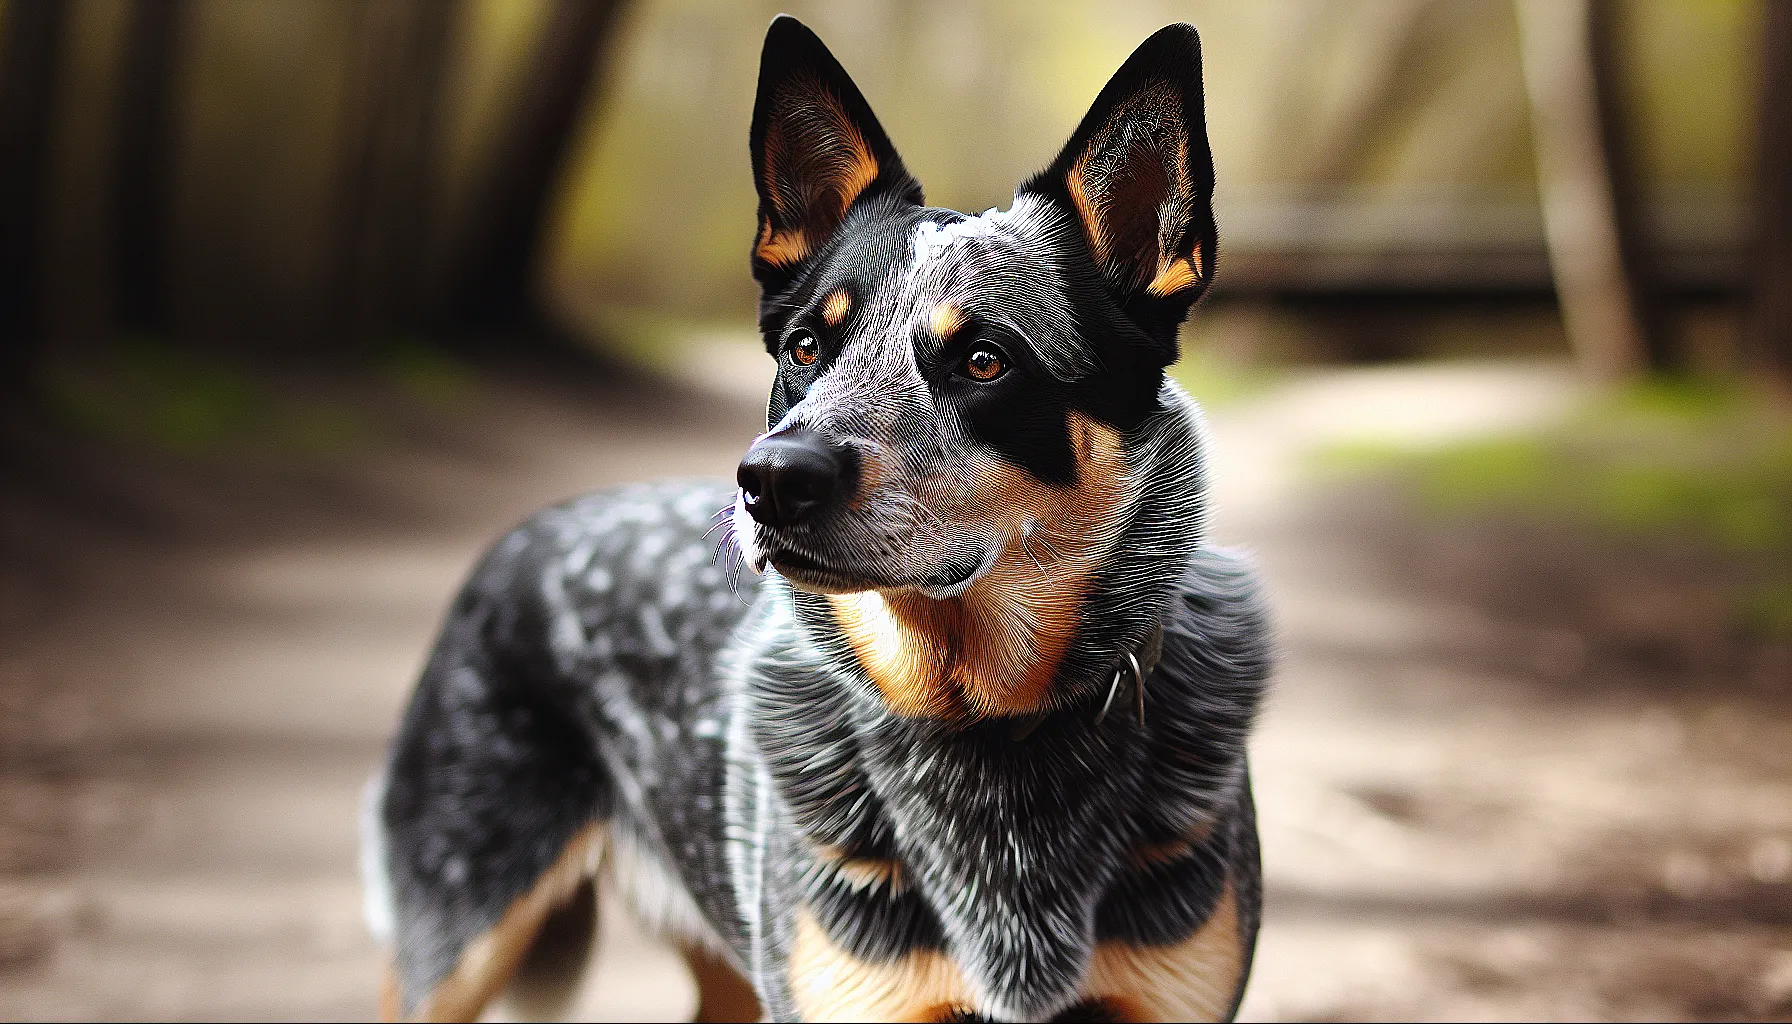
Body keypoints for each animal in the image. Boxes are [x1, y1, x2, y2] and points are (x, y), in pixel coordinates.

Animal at [360, 18, 1275, 1024]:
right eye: (806, 347)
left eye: (985, 360)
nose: (770, 480)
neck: (983, 728)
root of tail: (526, 535)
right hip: (457, 942)